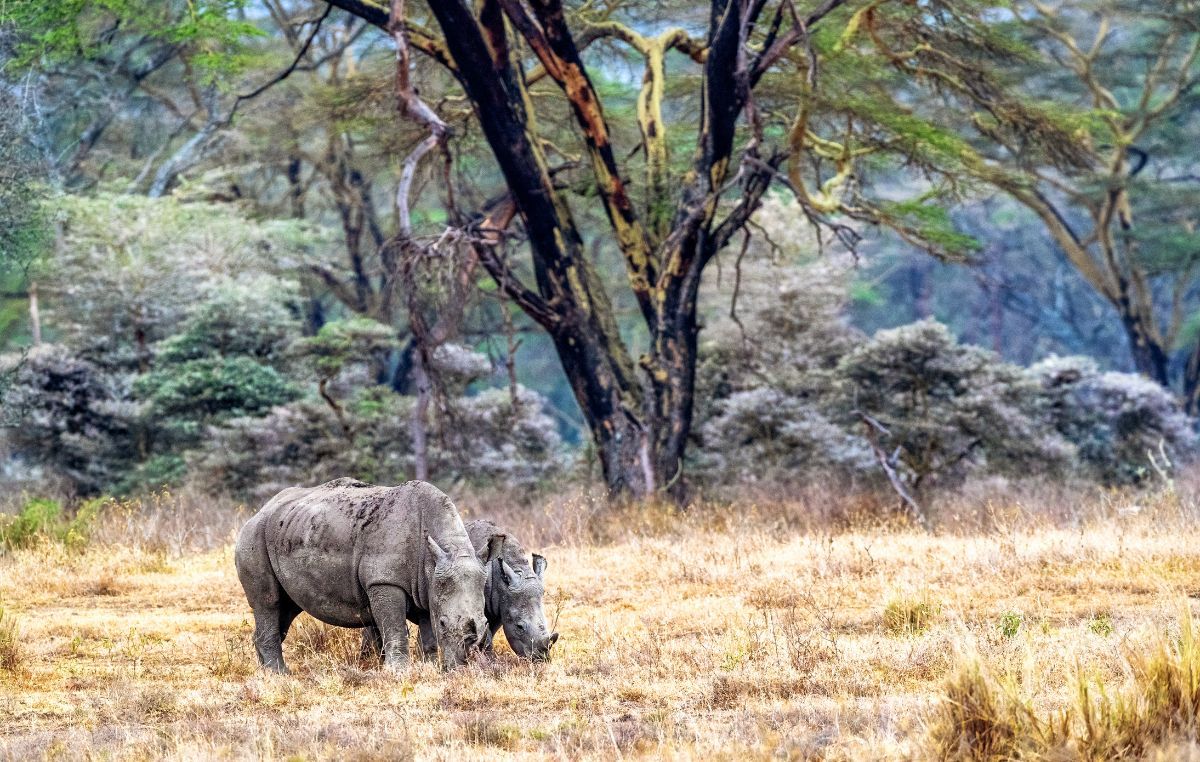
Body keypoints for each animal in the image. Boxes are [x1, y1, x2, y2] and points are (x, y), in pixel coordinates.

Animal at [234, 477, 501, 672]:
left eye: (486, 623)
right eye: (444, 623)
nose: (460, 667)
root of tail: (261, 510)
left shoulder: (427, 585)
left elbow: (428, 634)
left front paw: (430, 668)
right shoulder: (383, 580)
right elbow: (394, 627)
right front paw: (399, 673)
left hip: (288, 529)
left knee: (287, 608)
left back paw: (265, 672)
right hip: (254, 536)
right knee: (269, 603)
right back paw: (279, 675)